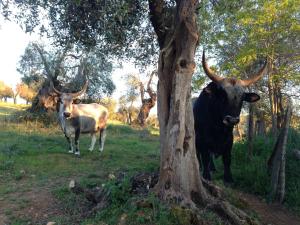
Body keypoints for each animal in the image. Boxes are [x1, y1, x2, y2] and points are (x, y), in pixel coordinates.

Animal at [193, 51, 266, 184]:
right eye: (222, 95)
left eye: (242, 98)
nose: (232, 119)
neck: (218, 128)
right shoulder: (202, 138)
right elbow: (205, 156)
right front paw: (206, 175)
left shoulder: (229, 140)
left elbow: (227, 159)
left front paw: (228, 178)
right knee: (199, 154)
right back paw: (201, 168)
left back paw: (213, 168)